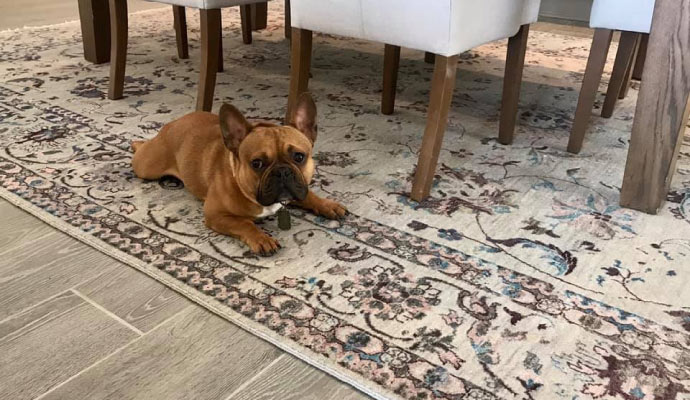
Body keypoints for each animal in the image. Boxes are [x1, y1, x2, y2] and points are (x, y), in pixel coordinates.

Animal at [130, 94, 344, 255]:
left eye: (299, 156)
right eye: (257, 163)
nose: (282, 171)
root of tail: (173, 123)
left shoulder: (298, 189)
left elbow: (308, 195)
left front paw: (328, 205)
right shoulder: (215, 214)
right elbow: (244, 224)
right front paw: (262, 238)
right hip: (147, 166)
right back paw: (136, 143)